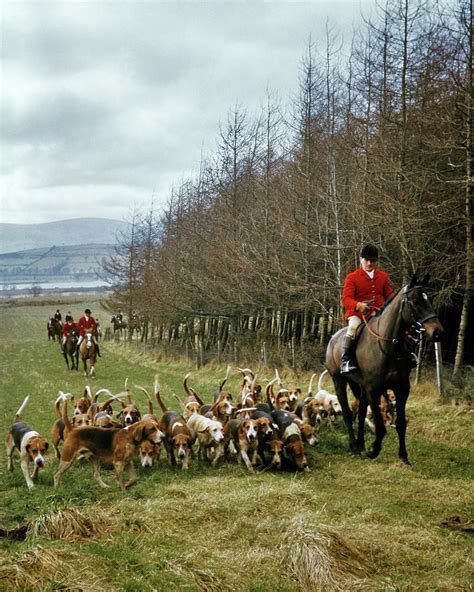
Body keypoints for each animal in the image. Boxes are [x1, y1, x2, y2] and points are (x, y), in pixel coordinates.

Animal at [326, 276, 444, 464]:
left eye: (429, 300)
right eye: (415, 301)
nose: (438, 332)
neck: (388, 346)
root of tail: (333, 338)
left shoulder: (402, 389)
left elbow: (401, 423)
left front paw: (403, 456)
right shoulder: (374, 389)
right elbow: (381, 427)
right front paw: (373, 450)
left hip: (360, 386)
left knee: (360, 412)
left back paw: (360, 444)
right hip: (339, 380)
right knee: (347, 412)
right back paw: (354, 447)